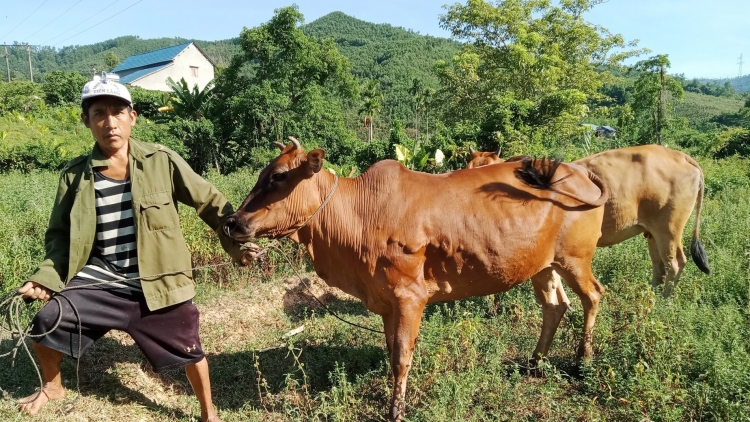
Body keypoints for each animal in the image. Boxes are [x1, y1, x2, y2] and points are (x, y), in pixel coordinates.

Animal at [225, 138, 612, 422]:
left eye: (279, 177)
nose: (233, 222)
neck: (358, 215)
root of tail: (577, 169)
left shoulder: (410, 297)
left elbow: (401, 355)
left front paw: (395, 409)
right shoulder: (384, 301)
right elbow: (391, 350)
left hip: (576, 259)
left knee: (593, 296)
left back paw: (583, 360)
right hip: (543, 266)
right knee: (555, 306)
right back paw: (534, 363)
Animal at [470, 144, 712, 296]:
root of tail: (680, 156)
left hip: (668, 229)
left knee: (675, 264)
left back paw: (664, 301)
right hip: (652, 232)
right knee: (659, 266)